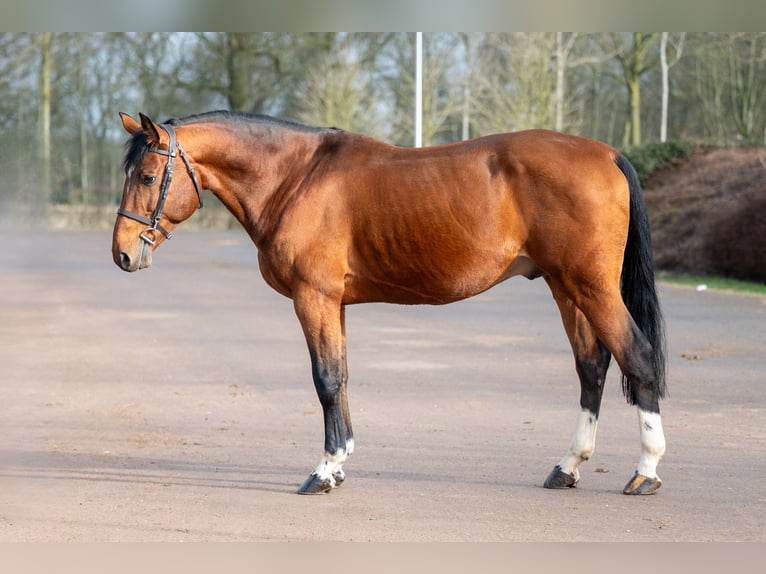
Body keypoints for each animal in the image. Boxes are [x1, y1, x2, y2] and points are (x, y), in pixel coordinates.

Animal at [111, 110, 668, 498]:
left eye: (146, 177)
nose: (122, 253)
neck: (295, 177)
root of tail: (607, 154)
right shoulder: (332, 301)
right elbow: (340, 376)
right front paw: (339, 464)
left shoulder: (313, 297)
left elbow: (324, 379)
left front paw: (323, 471)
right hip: (564, 286)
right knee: (592, 366)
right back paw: (567, 466)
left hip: (590, 286)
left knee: (637, 358)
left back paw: (645, 472)